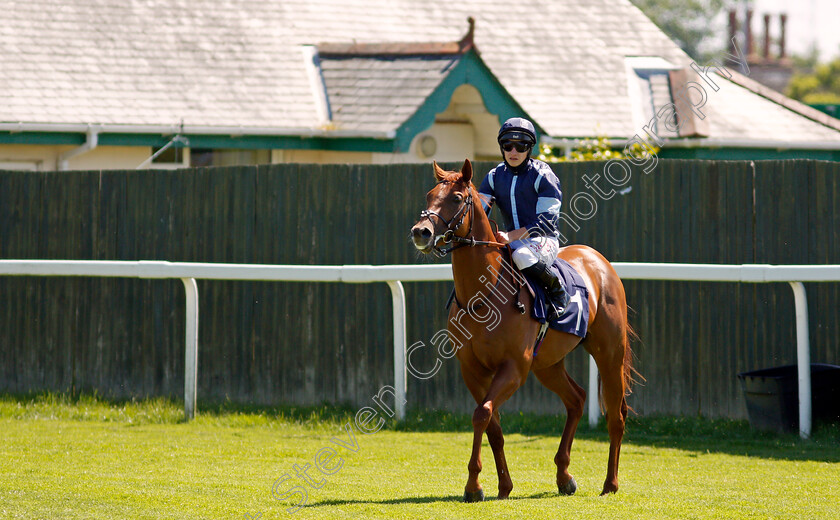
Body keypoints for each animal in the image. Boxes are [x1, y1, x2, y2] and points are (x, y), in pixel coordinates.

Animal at [408, 160, 636, 502]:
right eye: (430, 194)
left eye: (457, 197)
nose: (421, 231)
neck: (483, 296)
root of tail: (598, 260)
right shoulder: (472, 370)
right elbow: (492, 425)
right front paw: (502, 485)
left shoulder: (514, 367)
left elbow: (482, 414)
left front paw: (473, 485)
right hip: (548, 364)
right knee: (577, 399)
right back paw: (564, 476)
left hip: (609, 353)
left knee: (616, 417)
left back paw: (610, 483)